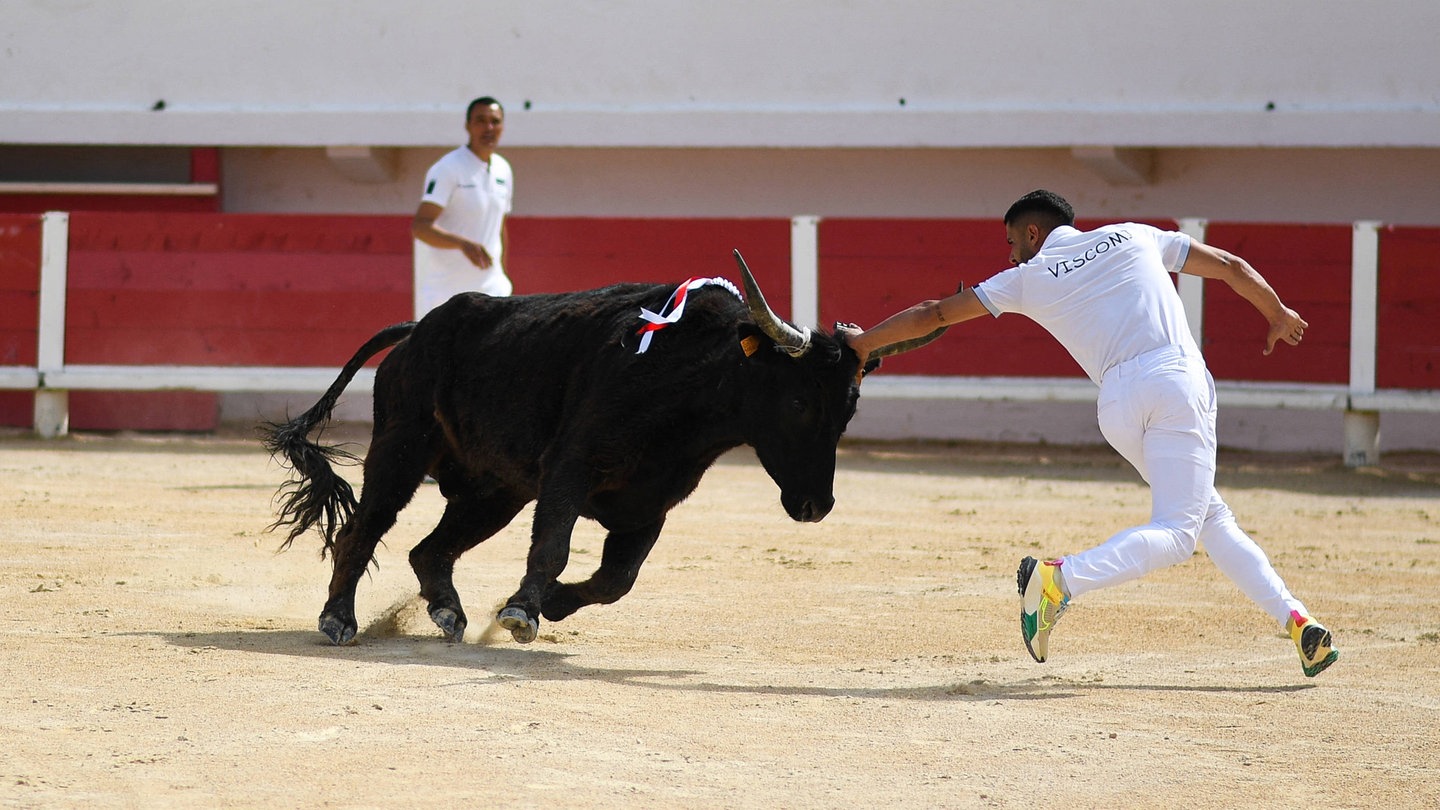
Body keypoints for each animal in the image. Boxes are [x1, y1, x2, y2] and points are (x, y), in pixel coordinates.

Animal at [259, 252, 921, 642]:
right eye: (800, 401)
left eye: (850, 407)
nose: (814, 506)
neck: (690, 381)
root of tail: (419, 329)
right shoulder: (570, 470)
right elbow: (554, 544)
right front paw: (522, 612)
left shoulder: (651, 503)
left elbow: (616, 578)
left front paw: (549, 604)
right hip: (401, 449)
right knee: (363, 528)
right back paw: (337, 619)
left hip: (495, 491)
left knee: (430, 549)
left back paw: (450, 613)